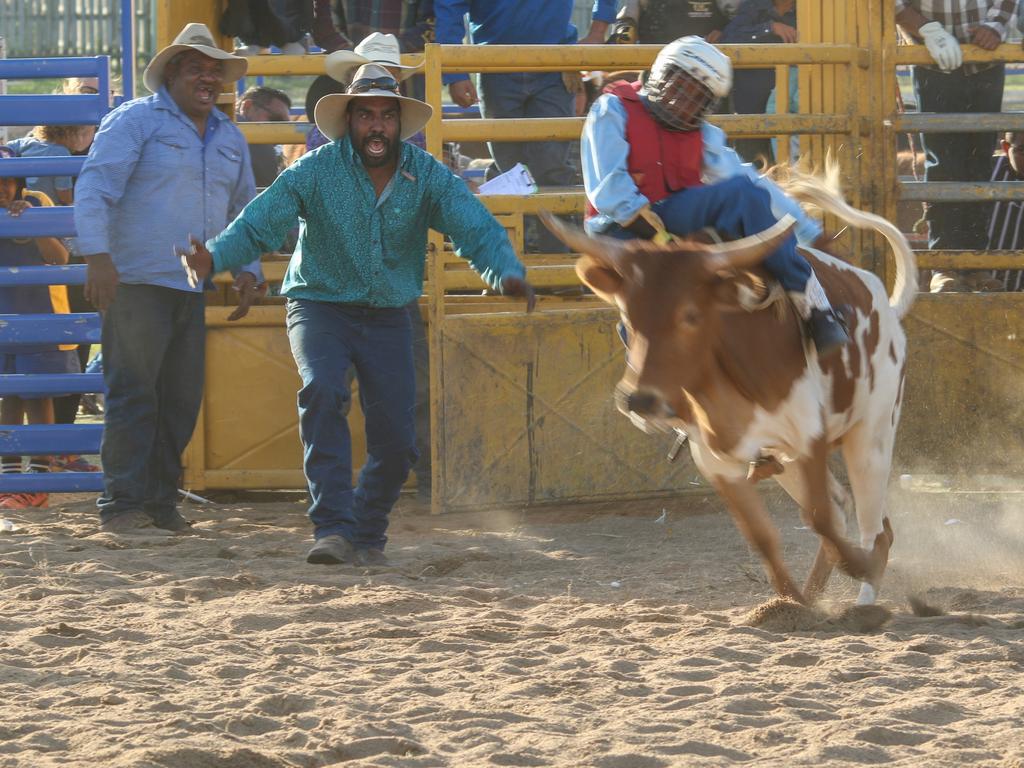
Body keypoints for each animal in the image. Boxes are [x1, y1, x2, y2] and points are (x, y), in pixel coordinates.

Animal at [548, 177, 917, 610]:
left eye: (690, 315)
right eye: (626, 315)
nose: (637, 400)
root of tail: (883, 303)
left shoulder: (808, 438)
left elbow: (818, 517)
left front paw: (852, 570)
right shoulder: (716, 460)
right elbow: (763, 538)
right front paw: (792, 607)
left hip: (871, 437)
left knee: (875, 531)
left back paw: (864, 600)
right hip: (791, 463)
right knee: (847, 512)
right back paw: (817, 595)